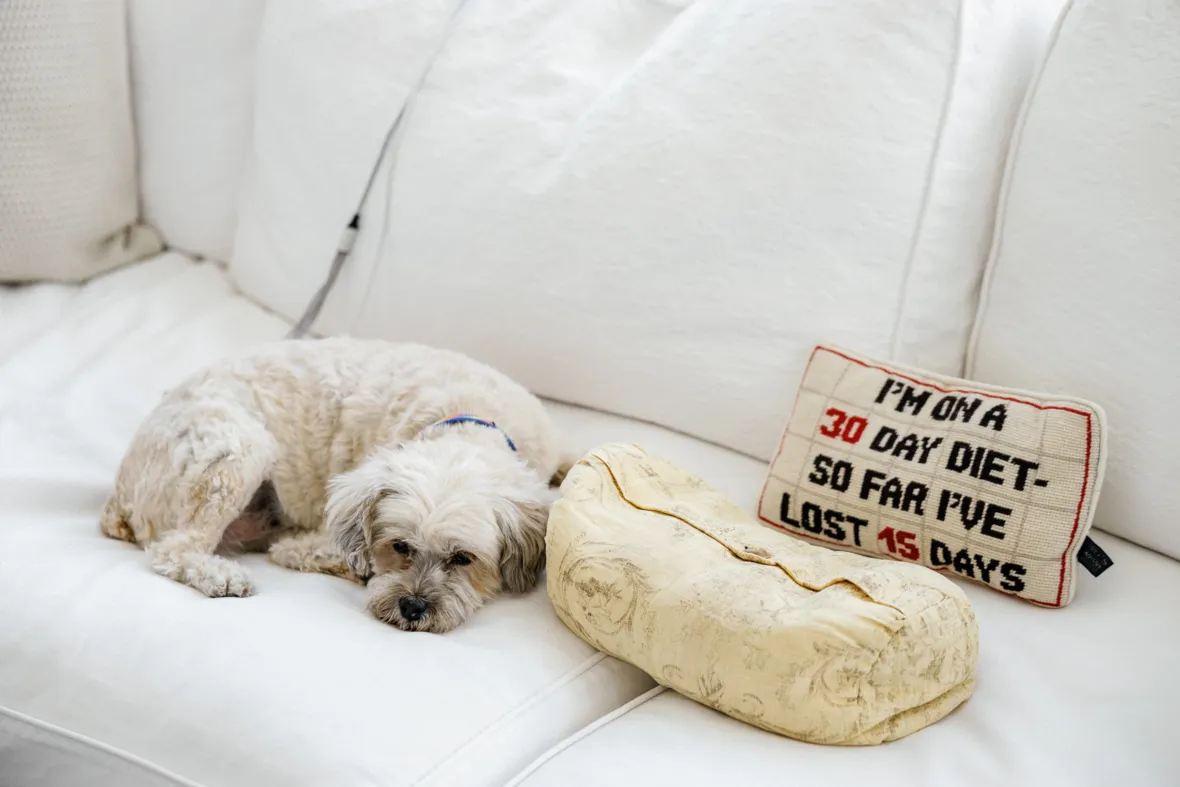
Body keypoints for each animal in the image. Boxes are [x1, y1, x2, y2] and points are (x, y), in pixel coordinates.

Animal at [100, 339, 561, 632]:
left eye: (464, 559)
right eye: (399, 546)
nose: (412, 607)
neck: (468, 419)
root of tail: (118, 497)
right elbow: (303, 551)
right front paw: (349, 566)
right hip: (237, 449)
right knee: (174, 549)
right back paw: (220, 575)